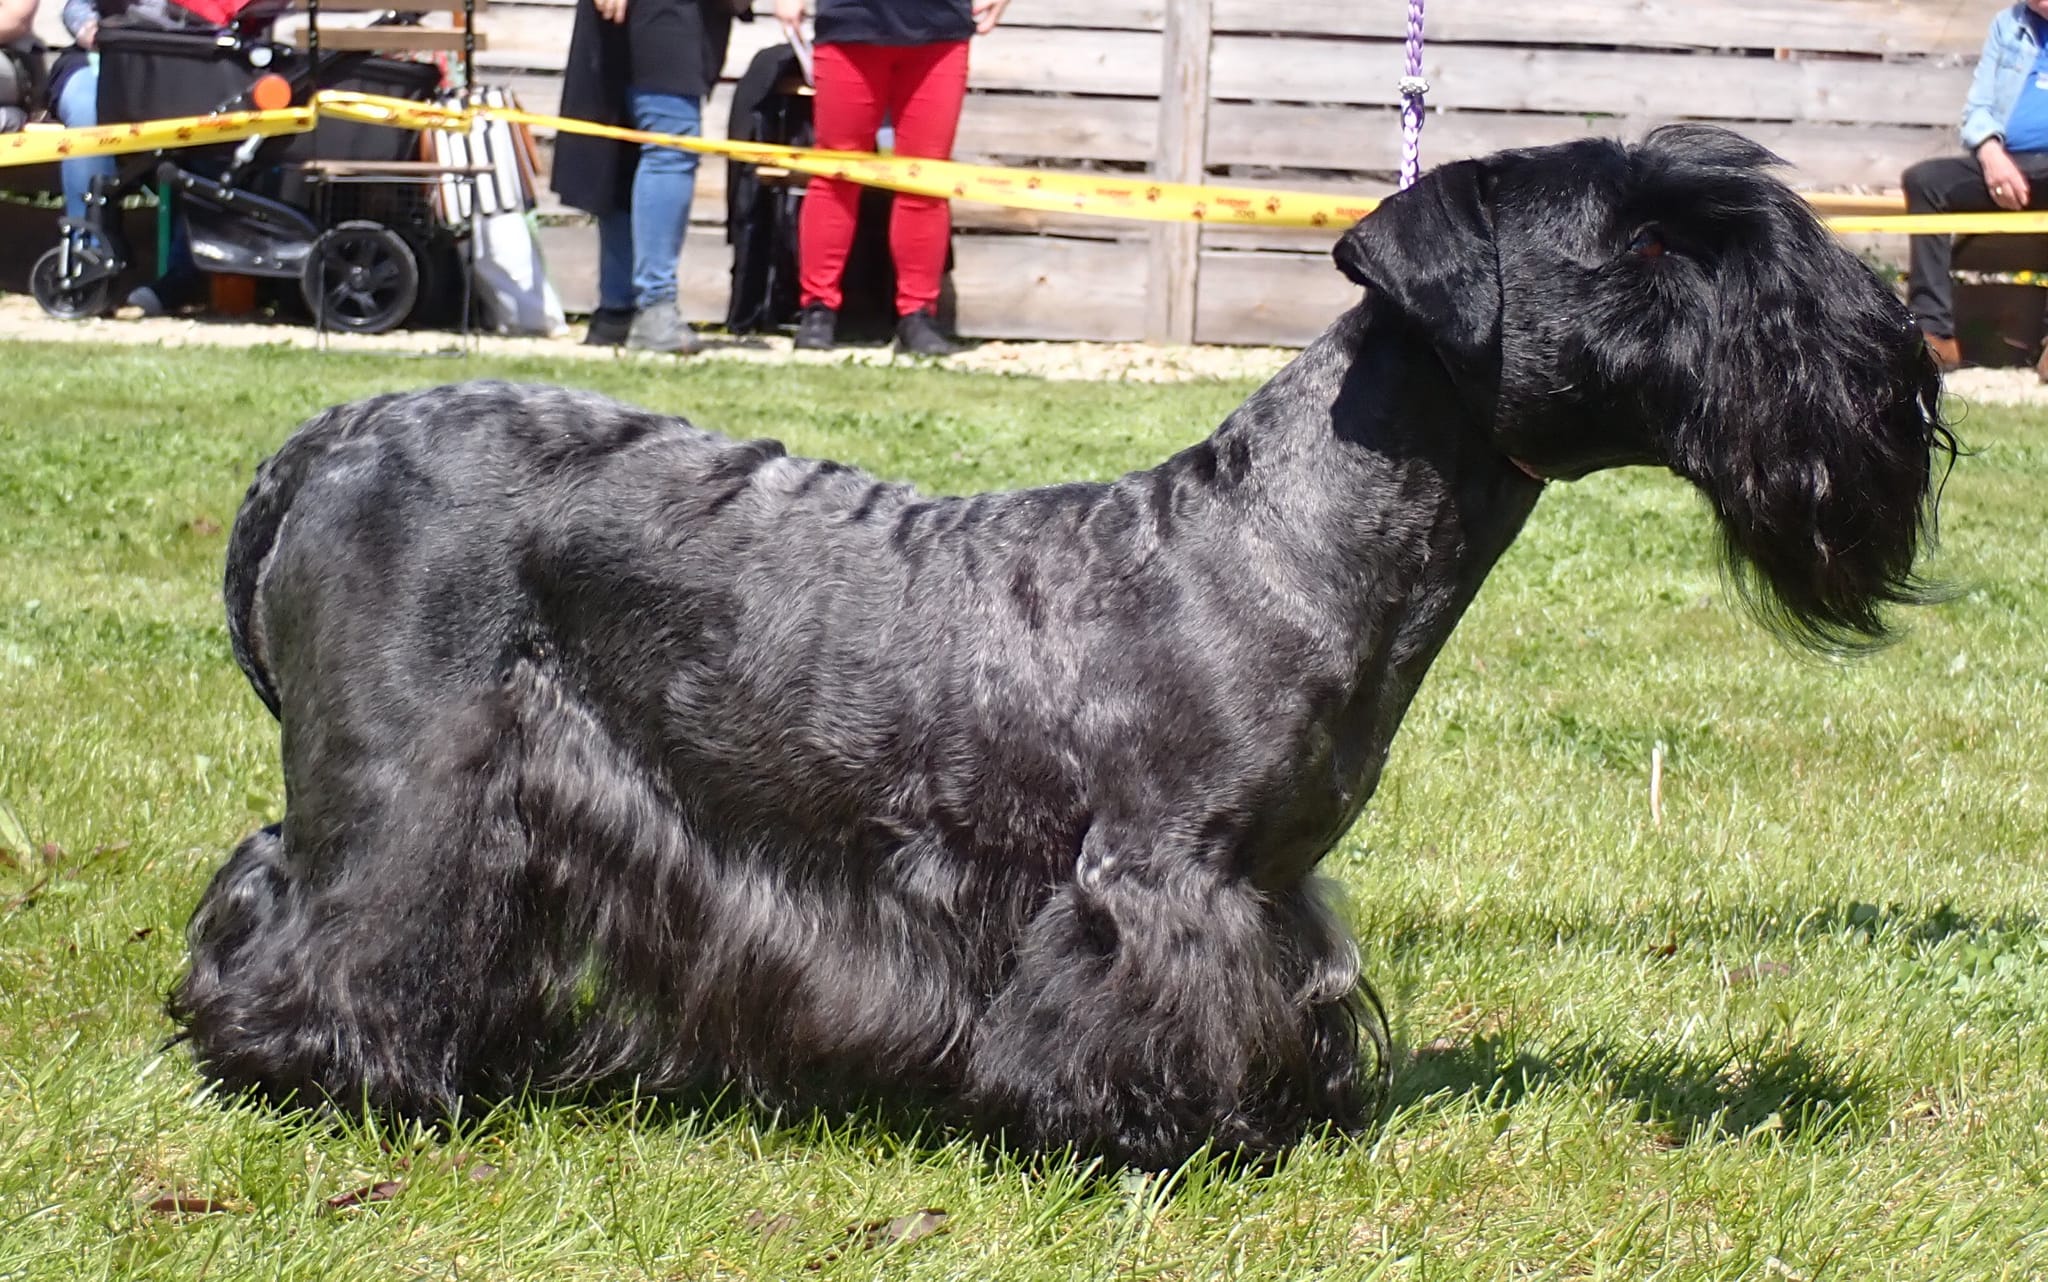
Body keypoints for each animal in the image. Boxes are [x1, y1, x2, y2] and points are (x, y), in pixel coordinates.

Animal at [167, 127, 1941, 1155]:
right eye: (1645, 245)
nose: (1895, 361)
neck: (1294, 530)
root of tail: (332, 433)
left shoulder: (1272, 885)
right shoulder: (1158, 876)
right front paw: (1162, 1128)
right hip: (414, 770)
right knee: (321, 899)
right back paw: (327, 1065)